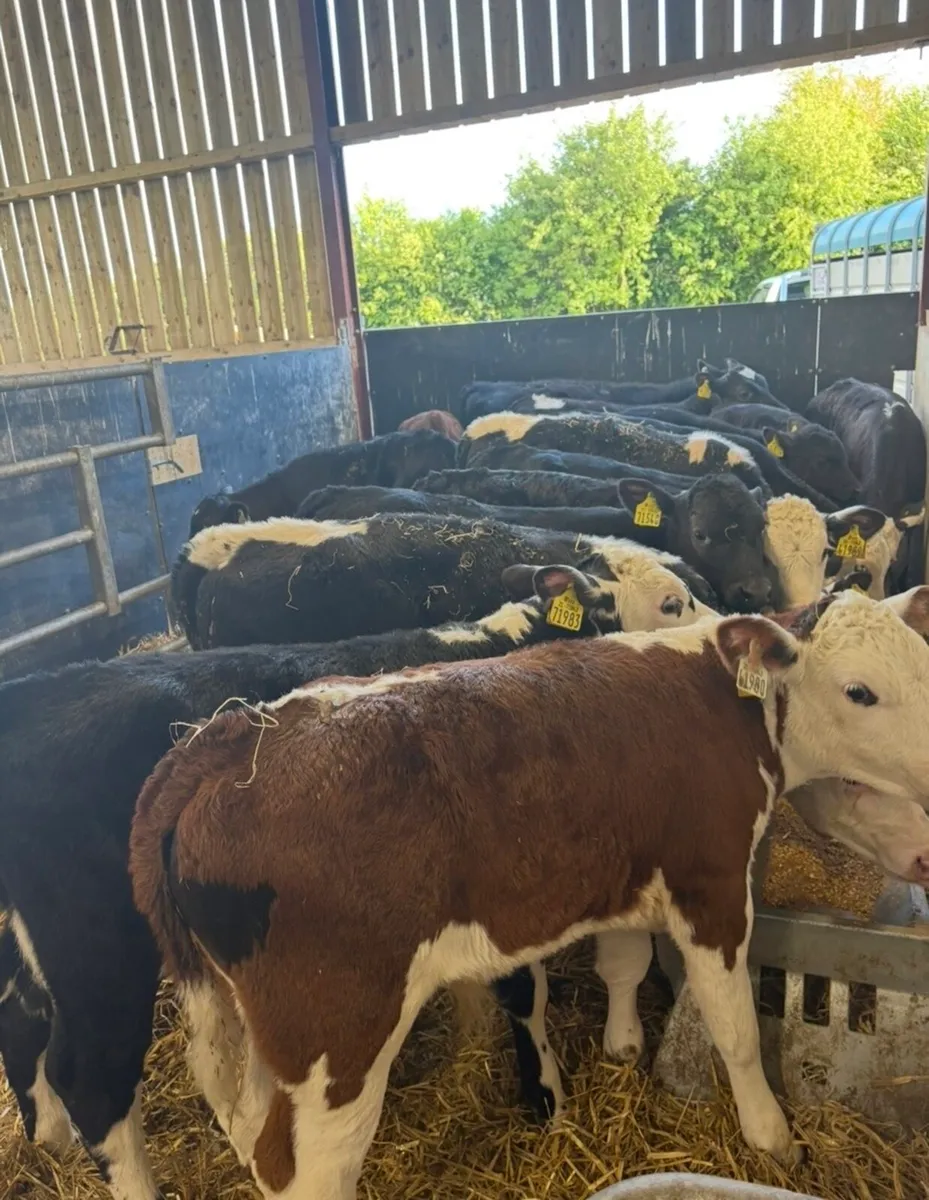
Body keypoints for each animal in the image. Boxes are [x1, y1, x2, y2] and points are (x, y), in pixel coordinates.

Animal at [0, 556, 703, 1200]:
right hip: (99, 953)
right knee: (94, 1078)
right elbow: (526, 993)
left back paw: (50, 1140)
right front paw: (548, 1098)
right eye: (673, 603)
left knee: (23, 1019)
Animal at [129, 587, 929, 1199]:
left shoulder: (622, 867)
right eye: (859, 690)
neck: (718, 699)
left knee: (247, 1129)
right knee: (303, 1169)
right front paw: (772, 1138)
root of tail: (233, 734)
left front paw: (622, 1045)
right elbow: (733, 1030)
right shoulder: (711, 886)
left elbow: (623, 962)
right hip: (337, 1036)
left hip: (249, 1024)